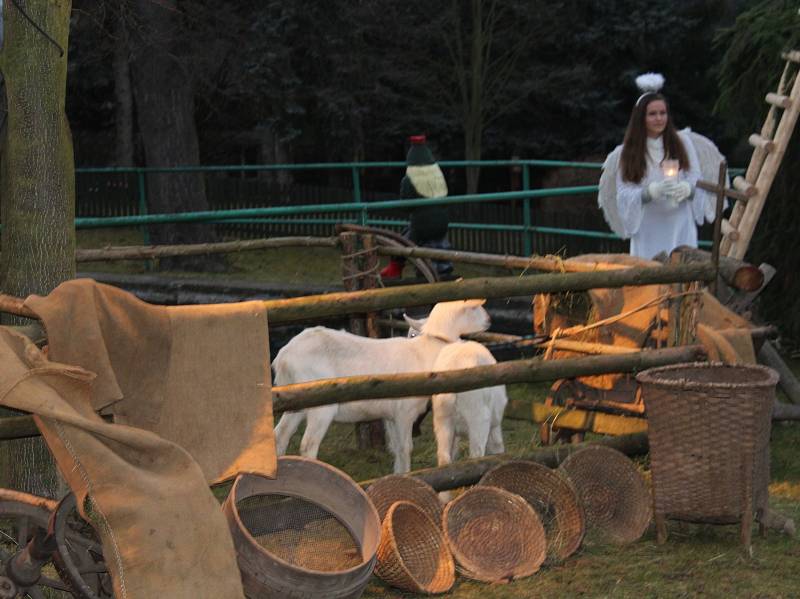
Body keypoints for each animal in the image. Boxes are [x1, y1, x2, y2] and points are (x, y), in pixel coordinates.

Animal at [272, 300, 490, 474]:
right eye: (473, 307)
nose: (489, 320)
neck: (426, 351)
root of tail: (283, 356)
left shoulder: (390, 415)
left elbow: (396, 449)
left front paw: (398, 475)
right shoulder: (404, 411)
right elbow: (406, 448)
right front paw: (408, 475)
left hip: (295, 401)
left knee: (280, 435)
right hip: (321, 404)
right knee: (308, 444)